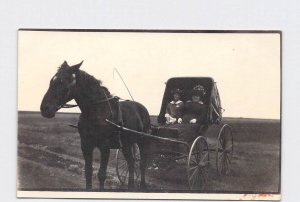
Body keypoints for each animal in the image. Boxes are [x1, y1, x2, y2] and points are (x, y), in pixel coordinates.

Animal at [40, 60, 150, 190]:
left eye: (62, 82)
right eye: (52, 81)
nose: (45, 109)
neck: (96, 111)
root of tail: (142, 108)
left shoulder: (105, 147)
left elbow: (102, 175)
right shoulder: (86, 145)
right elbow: (88, 172)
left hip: (142, 142)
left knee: (142, 164)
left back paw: (142, 186)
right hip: (127, 144)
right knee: (131, 163)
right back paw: (130, 186)